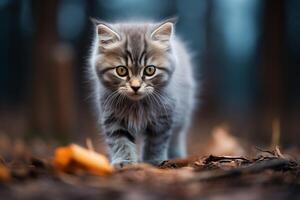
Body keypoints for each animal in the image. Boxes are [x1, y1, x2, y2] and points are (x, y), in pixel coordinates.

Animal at [88, 18, 197, 167]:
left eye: (150, 70)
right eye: (121, 71)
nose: (135, 87)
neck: (136, 105)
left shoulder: (163, 118)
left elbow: (156, 143)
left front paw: (153, 161)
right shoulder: (112, 117)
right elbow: (120, 142)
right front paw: (124, 162)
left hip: (182, 114)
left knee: (176, 135)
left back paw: (177, 155)